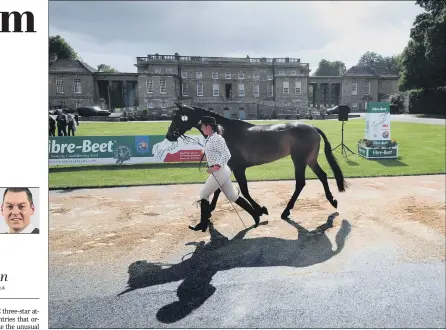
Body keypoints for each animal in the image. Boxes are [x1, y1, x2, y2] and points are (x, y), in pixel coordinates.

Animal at [165, 102, 348, 220]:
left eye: (179, 117)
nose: (169, 135)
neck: (224, 131)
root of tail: (313, 127)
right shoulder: (226, 167)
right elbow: (219, 188)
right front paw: (210, 209)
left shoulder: (238, 168)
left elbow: (244, 191)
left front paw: (260, 209)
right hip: (310, 159)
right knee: (322, 175)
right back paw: (332, 200)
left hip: (299, 160)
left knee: (301, 183)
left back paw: (286, 211)